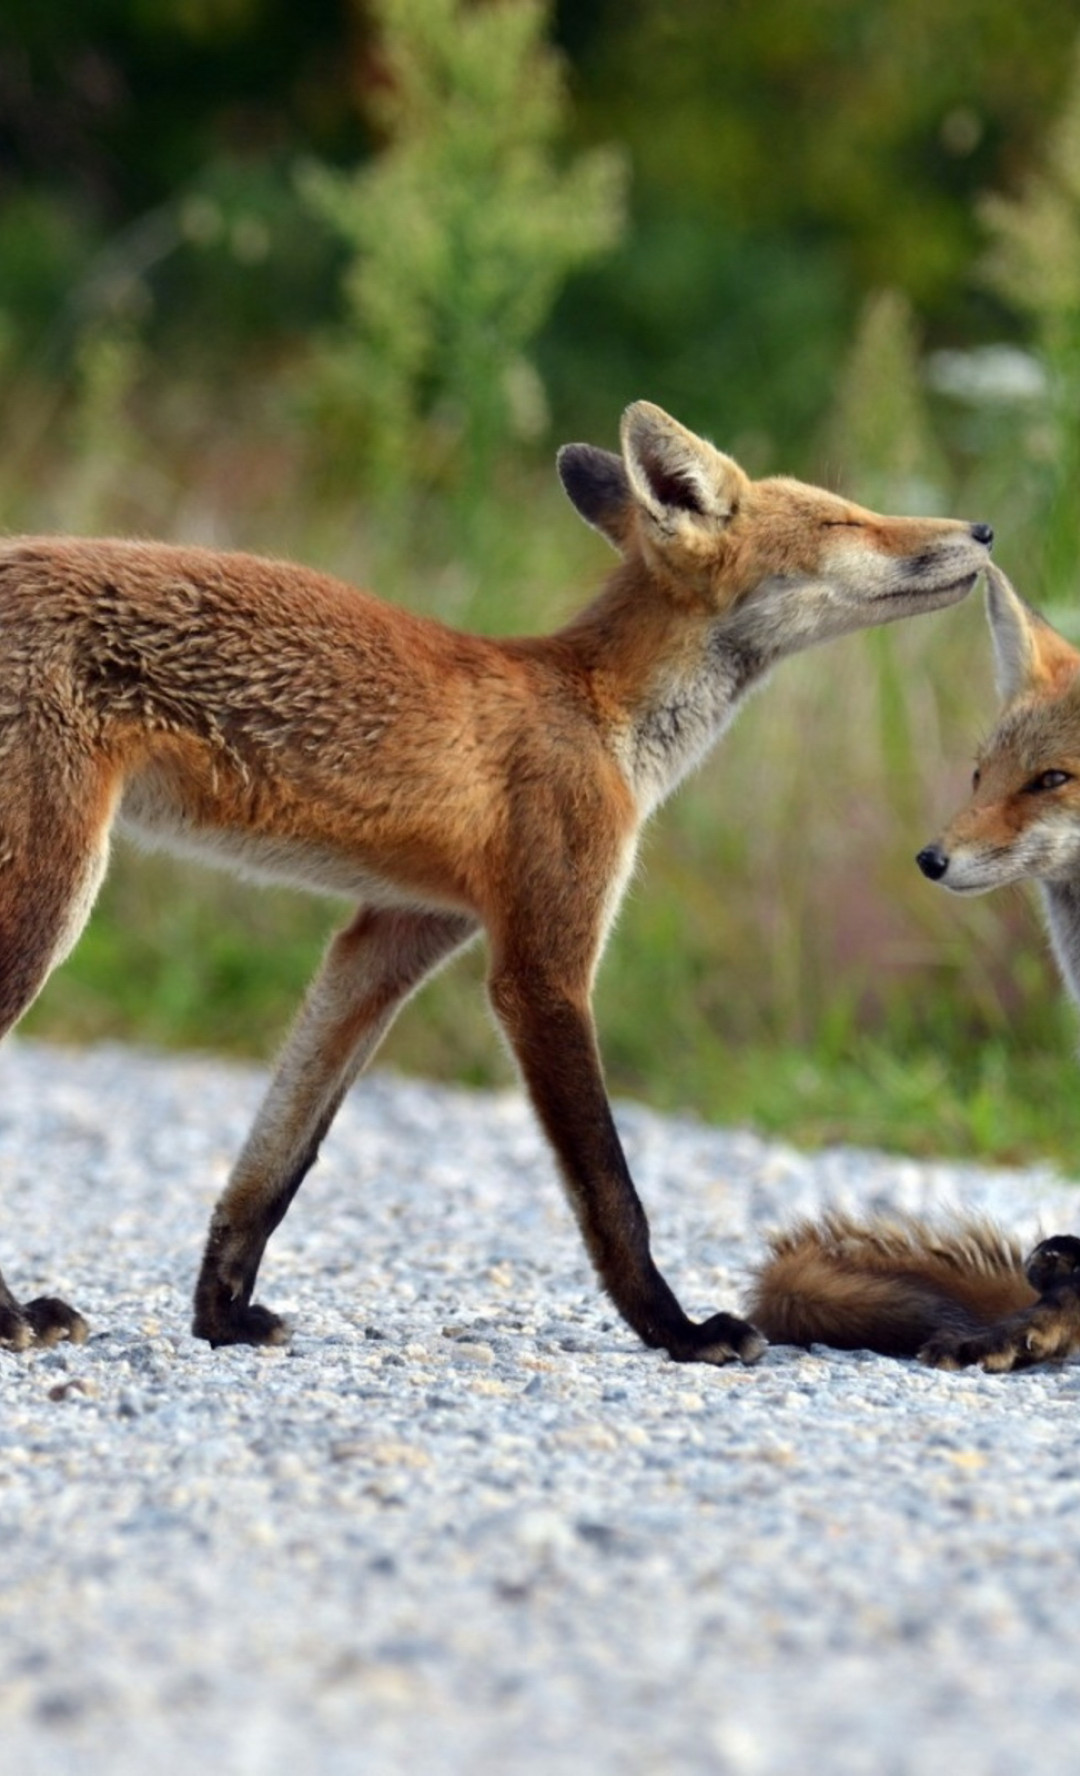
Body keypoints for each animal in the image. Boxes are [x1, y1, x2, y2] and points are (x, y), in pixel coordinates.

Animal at [0, 403, 994, 1349]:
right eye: (845, 519)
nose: (984, 528)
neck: (603, 717)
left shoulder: (393, 935)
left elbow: (277, 1161)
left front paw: (220, 1315)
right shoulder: (540, 967)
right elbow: (611, 1191)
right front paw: (676, 1332)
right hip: (52, 894)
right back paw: (14, 1318)